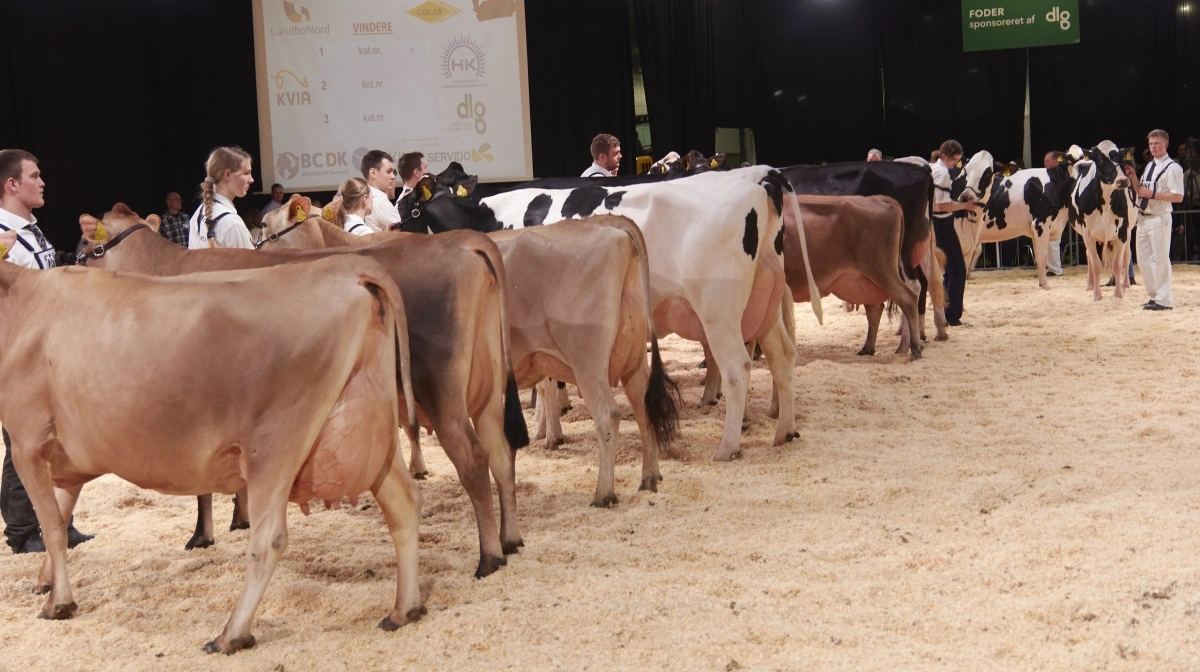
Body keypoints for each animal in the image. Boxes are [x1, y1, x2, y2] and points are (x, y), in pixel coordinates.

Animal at [0, 218, 424, 652]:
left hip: (275, 443)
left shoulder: (26, 443)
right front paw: (45, 582)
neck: (21, 305)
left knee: (269, 537)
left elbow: (51, 526)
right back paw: (403, 610)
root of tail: (348, 270)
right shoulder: (63, 457)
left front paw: (59, 603)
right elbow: (61, 514)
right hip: (369, 424)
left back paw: (231, 634)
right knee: (403, 501)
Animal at [75, 198, 525, 578]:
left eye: (84, 243)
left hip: (442, 392)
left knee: (474, 460)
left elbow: (201, 488)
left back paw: (489, 557)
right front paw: (241, 518)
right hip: (488, 392)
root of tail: (465, 241)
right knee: (501, 452)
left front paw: (202, 536)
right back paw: (511, 538)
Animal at [408, 166, 820, 460]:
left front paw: (549, 434)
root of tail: (761, 179)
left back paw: (727, 447)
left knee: (737, 367)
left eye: (410, 206)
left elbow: (544, 382)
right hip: (764, 301)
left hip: (719, 310)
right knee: (782, 355)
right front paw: (544, 428)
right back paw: (784, 431)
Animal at [487, 218, 676, 506]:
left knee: (607, 414)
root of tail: (610, 225)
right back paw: (649, 477)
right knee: (645, 409)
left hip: (588, 362)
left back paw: (603, 494)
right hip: (633, 359)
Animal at [1070, 139, 1132, 298]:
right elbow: (1096, 264)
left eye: (1121, 158)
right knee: (1089, 258)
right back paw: (1090, 286)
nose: (1122, 180)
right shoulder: (1087, 234)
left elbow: (1117, 264)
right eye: (1102, 160)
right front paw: (1097, 295)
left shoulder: (1122, 232)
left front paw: (1118, 294)